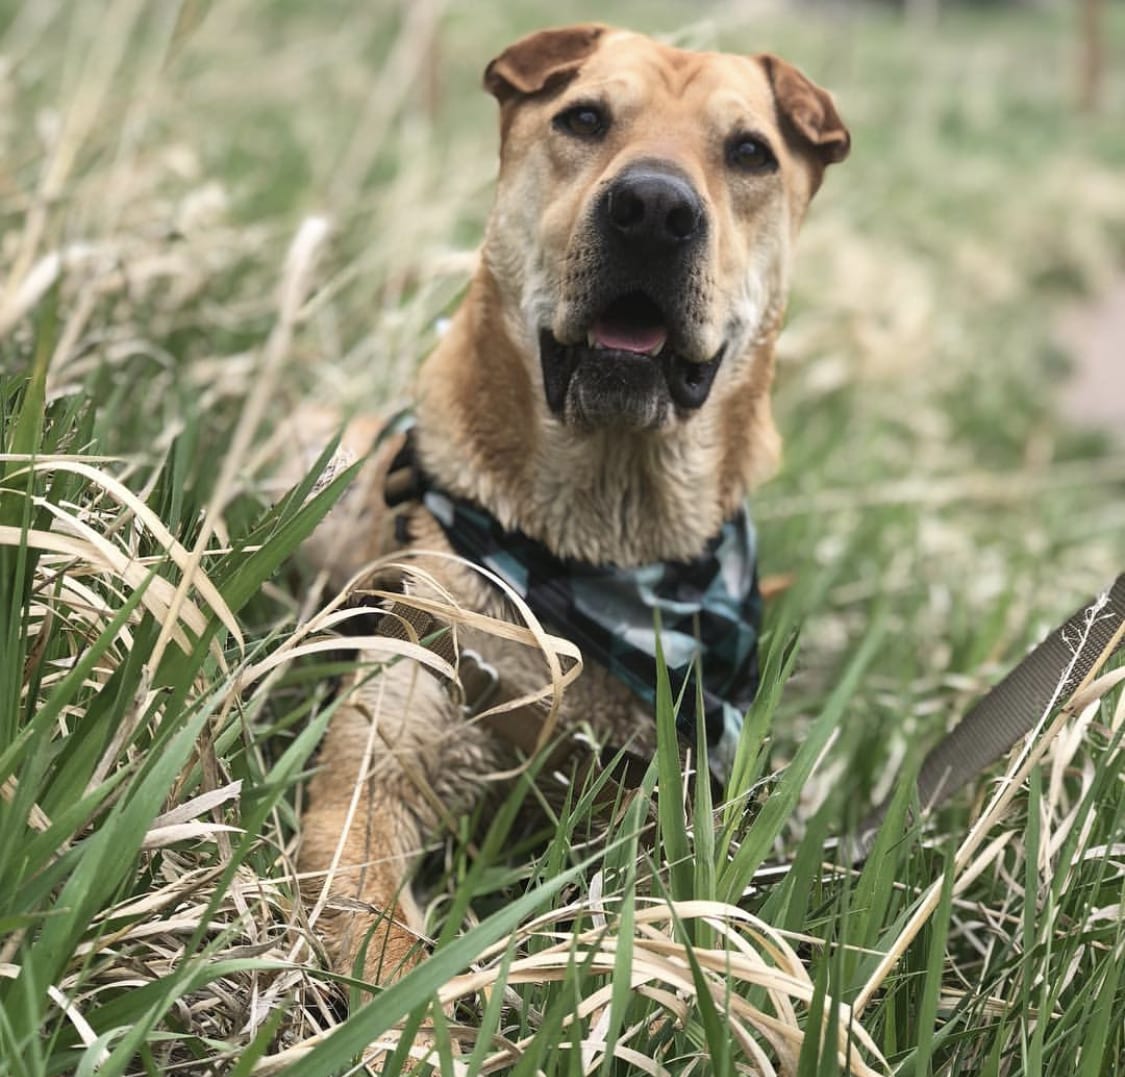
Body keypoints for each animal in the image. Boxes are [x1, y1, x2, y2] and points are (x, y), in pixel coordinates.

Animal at [294, 23, 846, 981]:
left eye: (749, 152)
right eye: (584, 118)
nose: (654, 209)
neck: (600, 537)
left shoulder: (665, 810)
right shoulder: (373, 782)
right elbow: (382, 944)